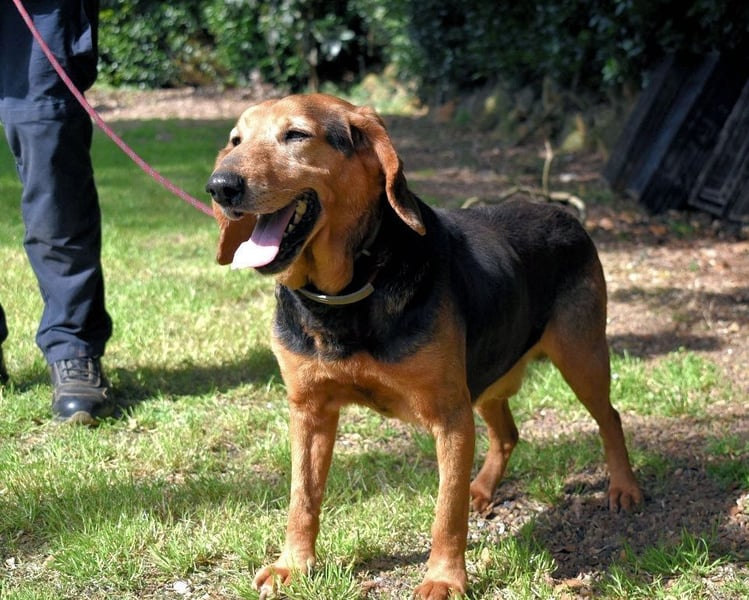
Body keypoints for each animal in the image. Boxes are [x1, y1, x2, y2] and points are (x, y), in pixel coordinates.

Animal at [206, 93, 642, 599]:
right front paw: (293, 565)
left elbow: (446, 514)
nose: (220, 186)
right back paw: (482, 489)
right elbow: (302, 498)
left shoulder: (449, 417)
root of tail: (562, 211)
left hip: (581, 359)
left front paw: (444, 578)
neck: (349, 289)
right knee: (508, 433)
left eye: (295, 135)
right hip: (488, 375)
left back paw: (624, 487)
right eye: (235, 140)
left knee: (609, 418)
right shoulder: (308, 411)